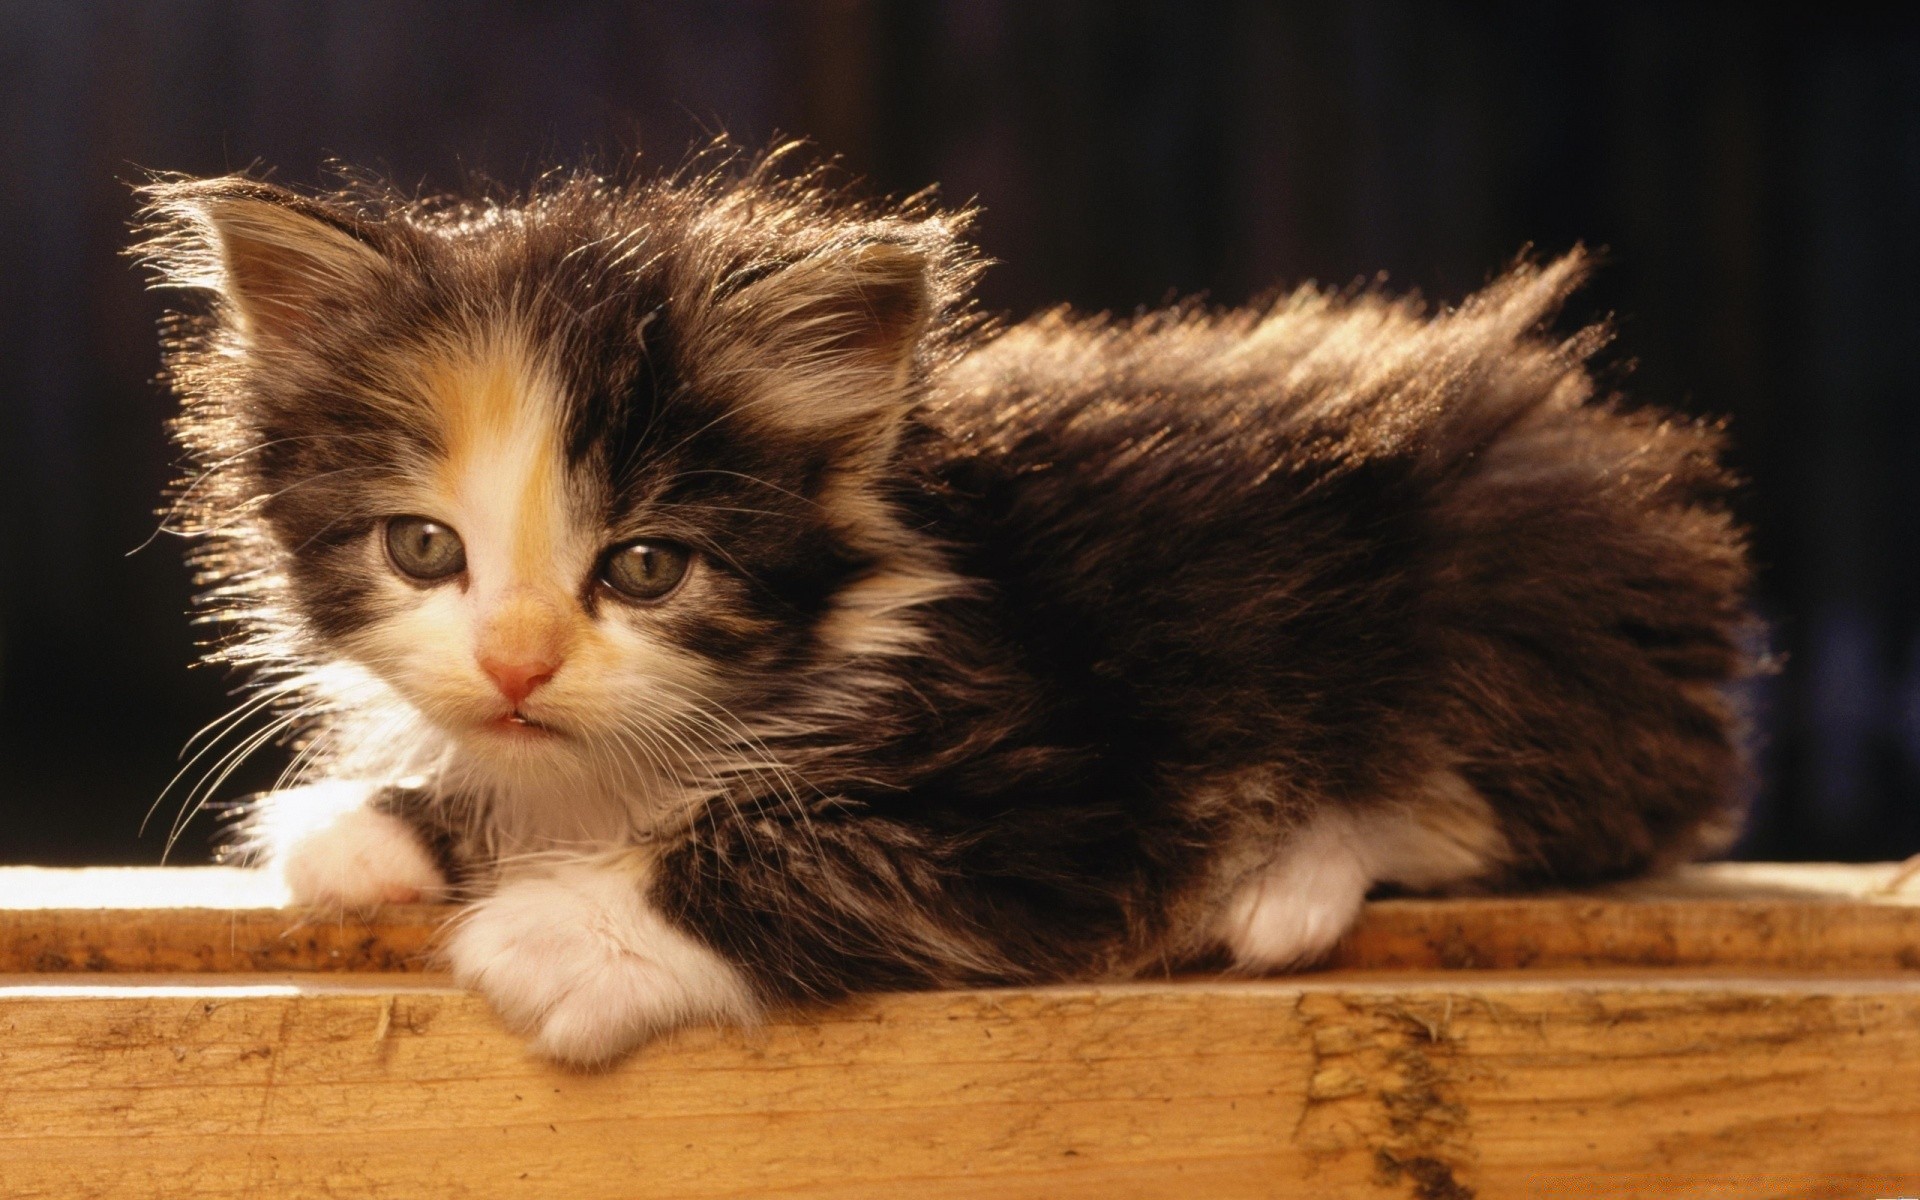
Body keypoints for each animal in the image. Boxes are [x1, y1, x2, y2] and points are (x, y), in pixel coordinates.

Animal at [135, 151, 1758, 1067]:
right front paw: (387, 828)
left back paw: (1287, 878)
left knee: (1522, 804)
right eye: (424, 550)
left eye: (648, 567)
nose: (520, 662)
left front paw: (572, 932)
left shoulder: (1071, 766)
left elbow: (841, 845)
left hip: (1515, 589)